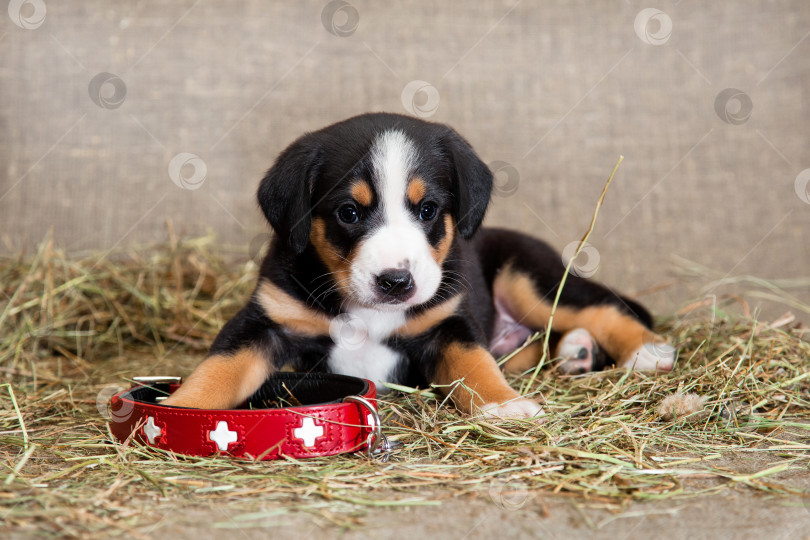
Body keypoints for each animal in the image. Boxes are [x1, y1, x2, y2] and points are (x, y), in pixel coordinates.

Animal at [163, 113, 668, 418]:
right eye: (349, 212)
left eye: (427, 210)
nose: (396, 282)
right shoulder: (266, 321)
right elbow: (219, 367)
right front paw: (180, 410)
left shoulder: (448, 324)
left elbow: (476, 365)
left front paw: (503, 406)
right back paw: (576, 352)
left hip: (528, 278)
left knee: (598, 309)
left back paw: (644, 350)